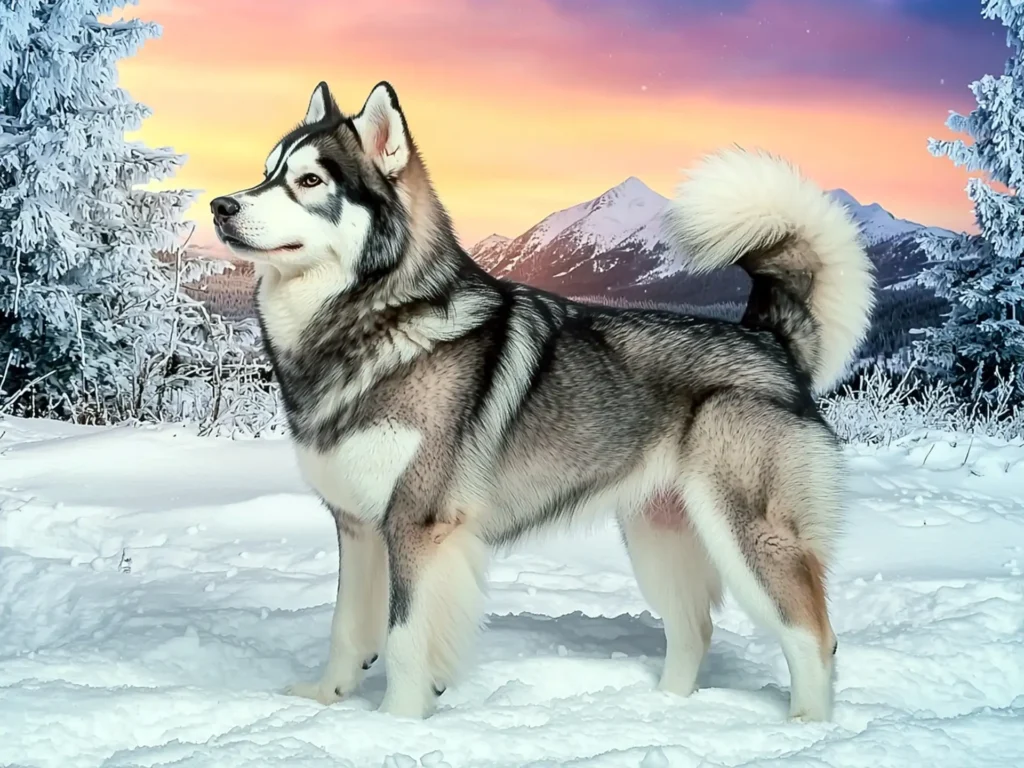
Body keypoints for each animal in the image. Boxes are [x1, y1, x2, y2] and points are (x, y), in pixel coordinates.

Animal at [207, 81, 872, 724]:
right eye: (267, 171)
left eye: (309, 181)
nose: (220, 206)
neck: (376, 320)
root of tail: (769, 338)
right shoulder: (358, 524)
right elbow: (346, 628)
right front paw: (327, 701)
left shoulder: (419, 525)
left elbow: (403, 641)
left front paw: (395, 724)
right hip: (658, 536)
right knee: (695, 630)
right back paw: (660, 712)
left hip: (748, 533)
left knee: (813, 636)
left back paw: (805, 729)